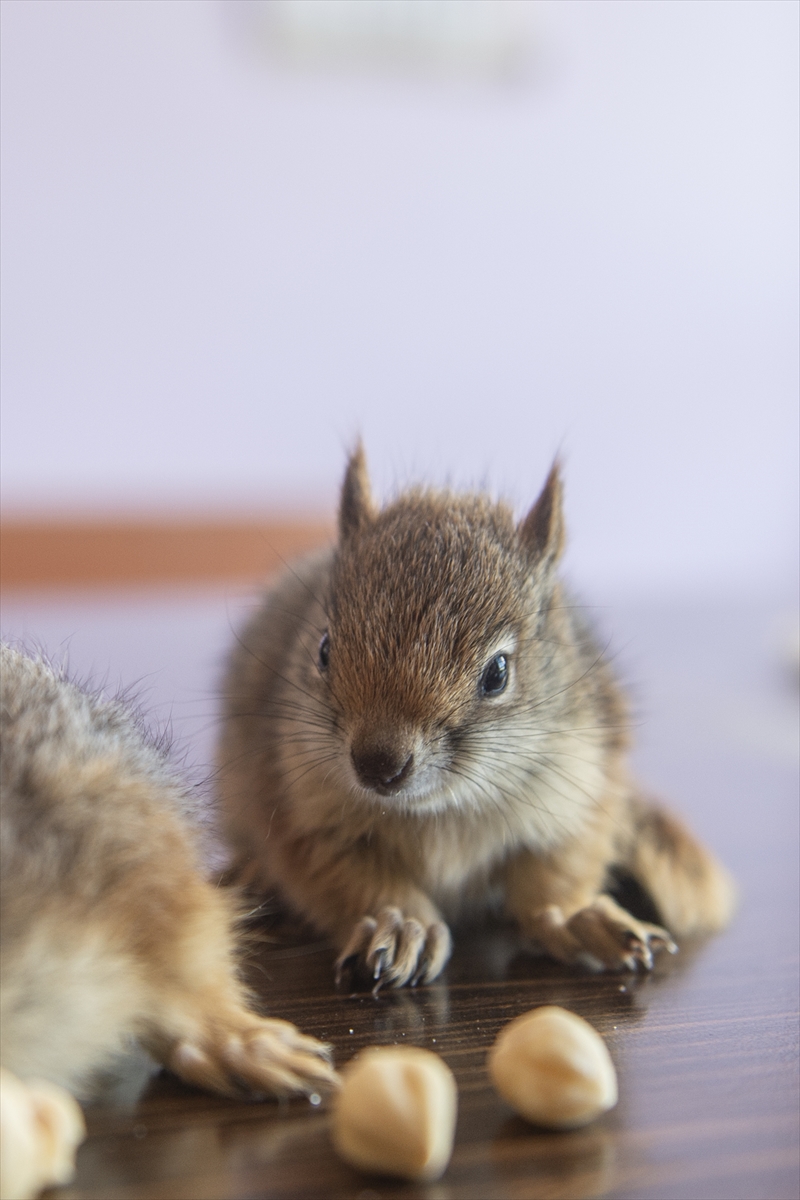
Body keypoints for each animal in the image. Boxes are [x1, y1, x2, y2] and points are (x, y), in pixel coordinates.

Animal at [215, 446, 734, 988]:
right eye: (322, 649)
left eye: (498, 673)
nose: (378, 764)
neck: (438, 812)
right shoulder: (304, 816)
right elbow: (352, 880)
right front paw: (402, 923)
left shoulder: (580, 792)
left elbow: (554, 878)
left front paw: (576, 918)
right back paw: (253, 876)